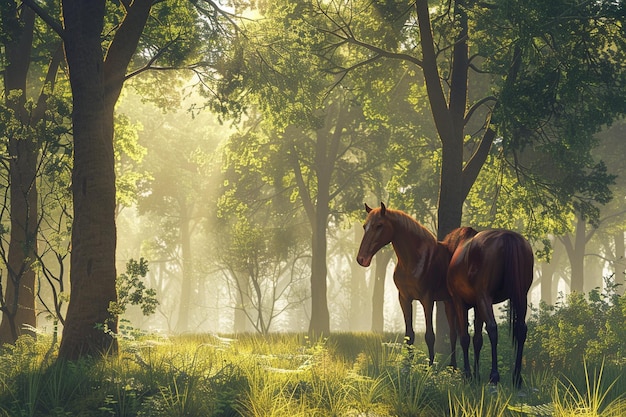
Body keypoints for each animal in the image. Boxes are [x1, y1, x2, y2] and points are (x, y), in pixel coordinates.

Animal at [356, 202, 454, 364]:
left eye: (379, 225)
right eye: (365, 226)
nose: (361, 259)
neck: (414, 261)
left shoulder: (427, 299)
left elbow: (429, 336)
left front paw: (430, 367)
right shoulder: (404, 298)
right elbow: (409, 336)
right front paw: (406, 367)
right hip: (448, 301)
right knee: (455, 334)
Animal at [444, 226, 532, 386]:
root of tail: (508, 237)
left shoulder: (460, 302)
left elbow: (464, 337)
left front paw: (468, 374)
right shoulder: (477, 306)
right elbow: (477, 340)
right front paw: (476, 375)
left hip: (484, 297)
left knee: (492, 328)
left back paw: (494, 376)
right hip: (521, 296)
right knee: (521, 330)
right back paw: (517, 377)